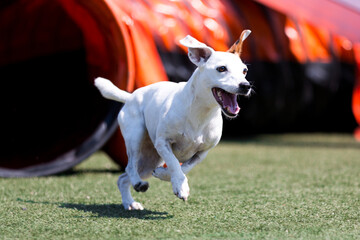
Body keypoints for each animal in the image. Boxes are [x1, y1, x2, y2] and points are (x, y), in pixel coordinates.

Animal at [95, 30, 253, 210]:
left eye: (244, 71)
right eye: (221, 69)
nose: (246, 85)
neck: (201, 113)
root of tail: (130, 96)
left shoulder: (202, 152)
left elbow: (185, 167)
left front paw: (166, 175)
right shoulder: (163, 142)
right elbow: (174, 163)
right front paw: (180, 186)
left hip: (150, 161)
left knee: (123, 178)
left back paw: (130, 202)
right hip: (135, 136)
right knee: (130, 165)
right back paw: (137, 183)